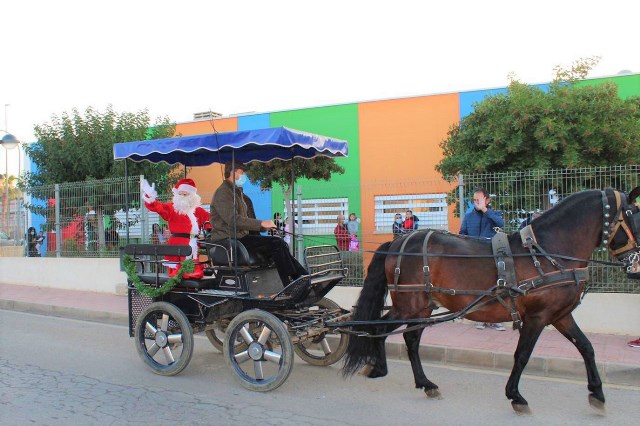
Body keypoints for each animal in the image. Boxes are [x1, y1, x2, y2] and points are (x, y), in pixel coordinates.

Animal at [344, 188, 640, 414]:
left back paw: (425, 383)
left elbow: (586, 347)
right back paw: (380, 368)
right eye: (632, 215)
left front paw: (597, 393)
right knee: (381, 328)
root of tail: (398, 242)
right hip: (409, 306)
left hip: (422, 307)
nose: (636, 264)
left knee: (409, 339)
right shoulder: (537, 317)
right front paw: (515, 395)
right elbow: (522, 355)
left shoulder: (559, 315)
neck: (546, 253)